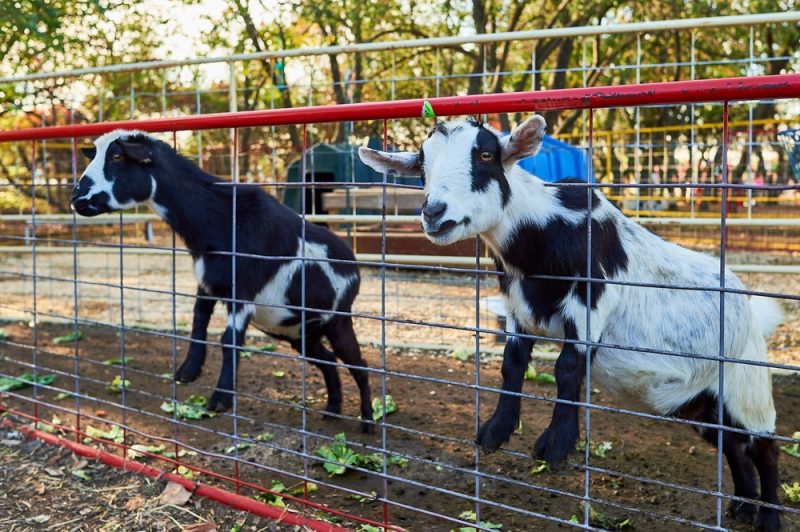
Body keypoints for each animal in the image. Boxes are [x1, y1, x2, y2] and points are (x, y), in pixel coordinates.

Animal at [71, 130, 374, 432]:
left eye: (117, 157)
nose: (77, 198)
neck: (222, 221)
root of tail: (354, 268)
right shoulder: (208, 283)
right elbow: (198, 321)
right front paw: (187, 372)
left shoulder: (243, 292)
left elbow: (229, 341)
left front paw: (220, 399)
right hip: (300, 332)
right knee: (328, 361)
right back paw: (332, 410)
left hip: (338, 320)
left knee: (359, 364)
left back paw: (368, 422)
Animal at [359, 115, 783, 530]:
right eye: (422, 165)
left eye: (485, 155)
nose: (434, 213)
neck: (542, 237)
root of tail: (751, 309)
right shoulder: (517, 310)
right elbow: (512, 365)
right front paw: (496, 430)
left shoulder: (590, 304)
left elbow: (567, 367)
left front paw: (556, 445)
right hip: (700, 401)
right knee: (732, 444)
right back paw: (742, 506)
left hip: (747, 382)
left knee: (764, 446)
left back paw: (769, 517)